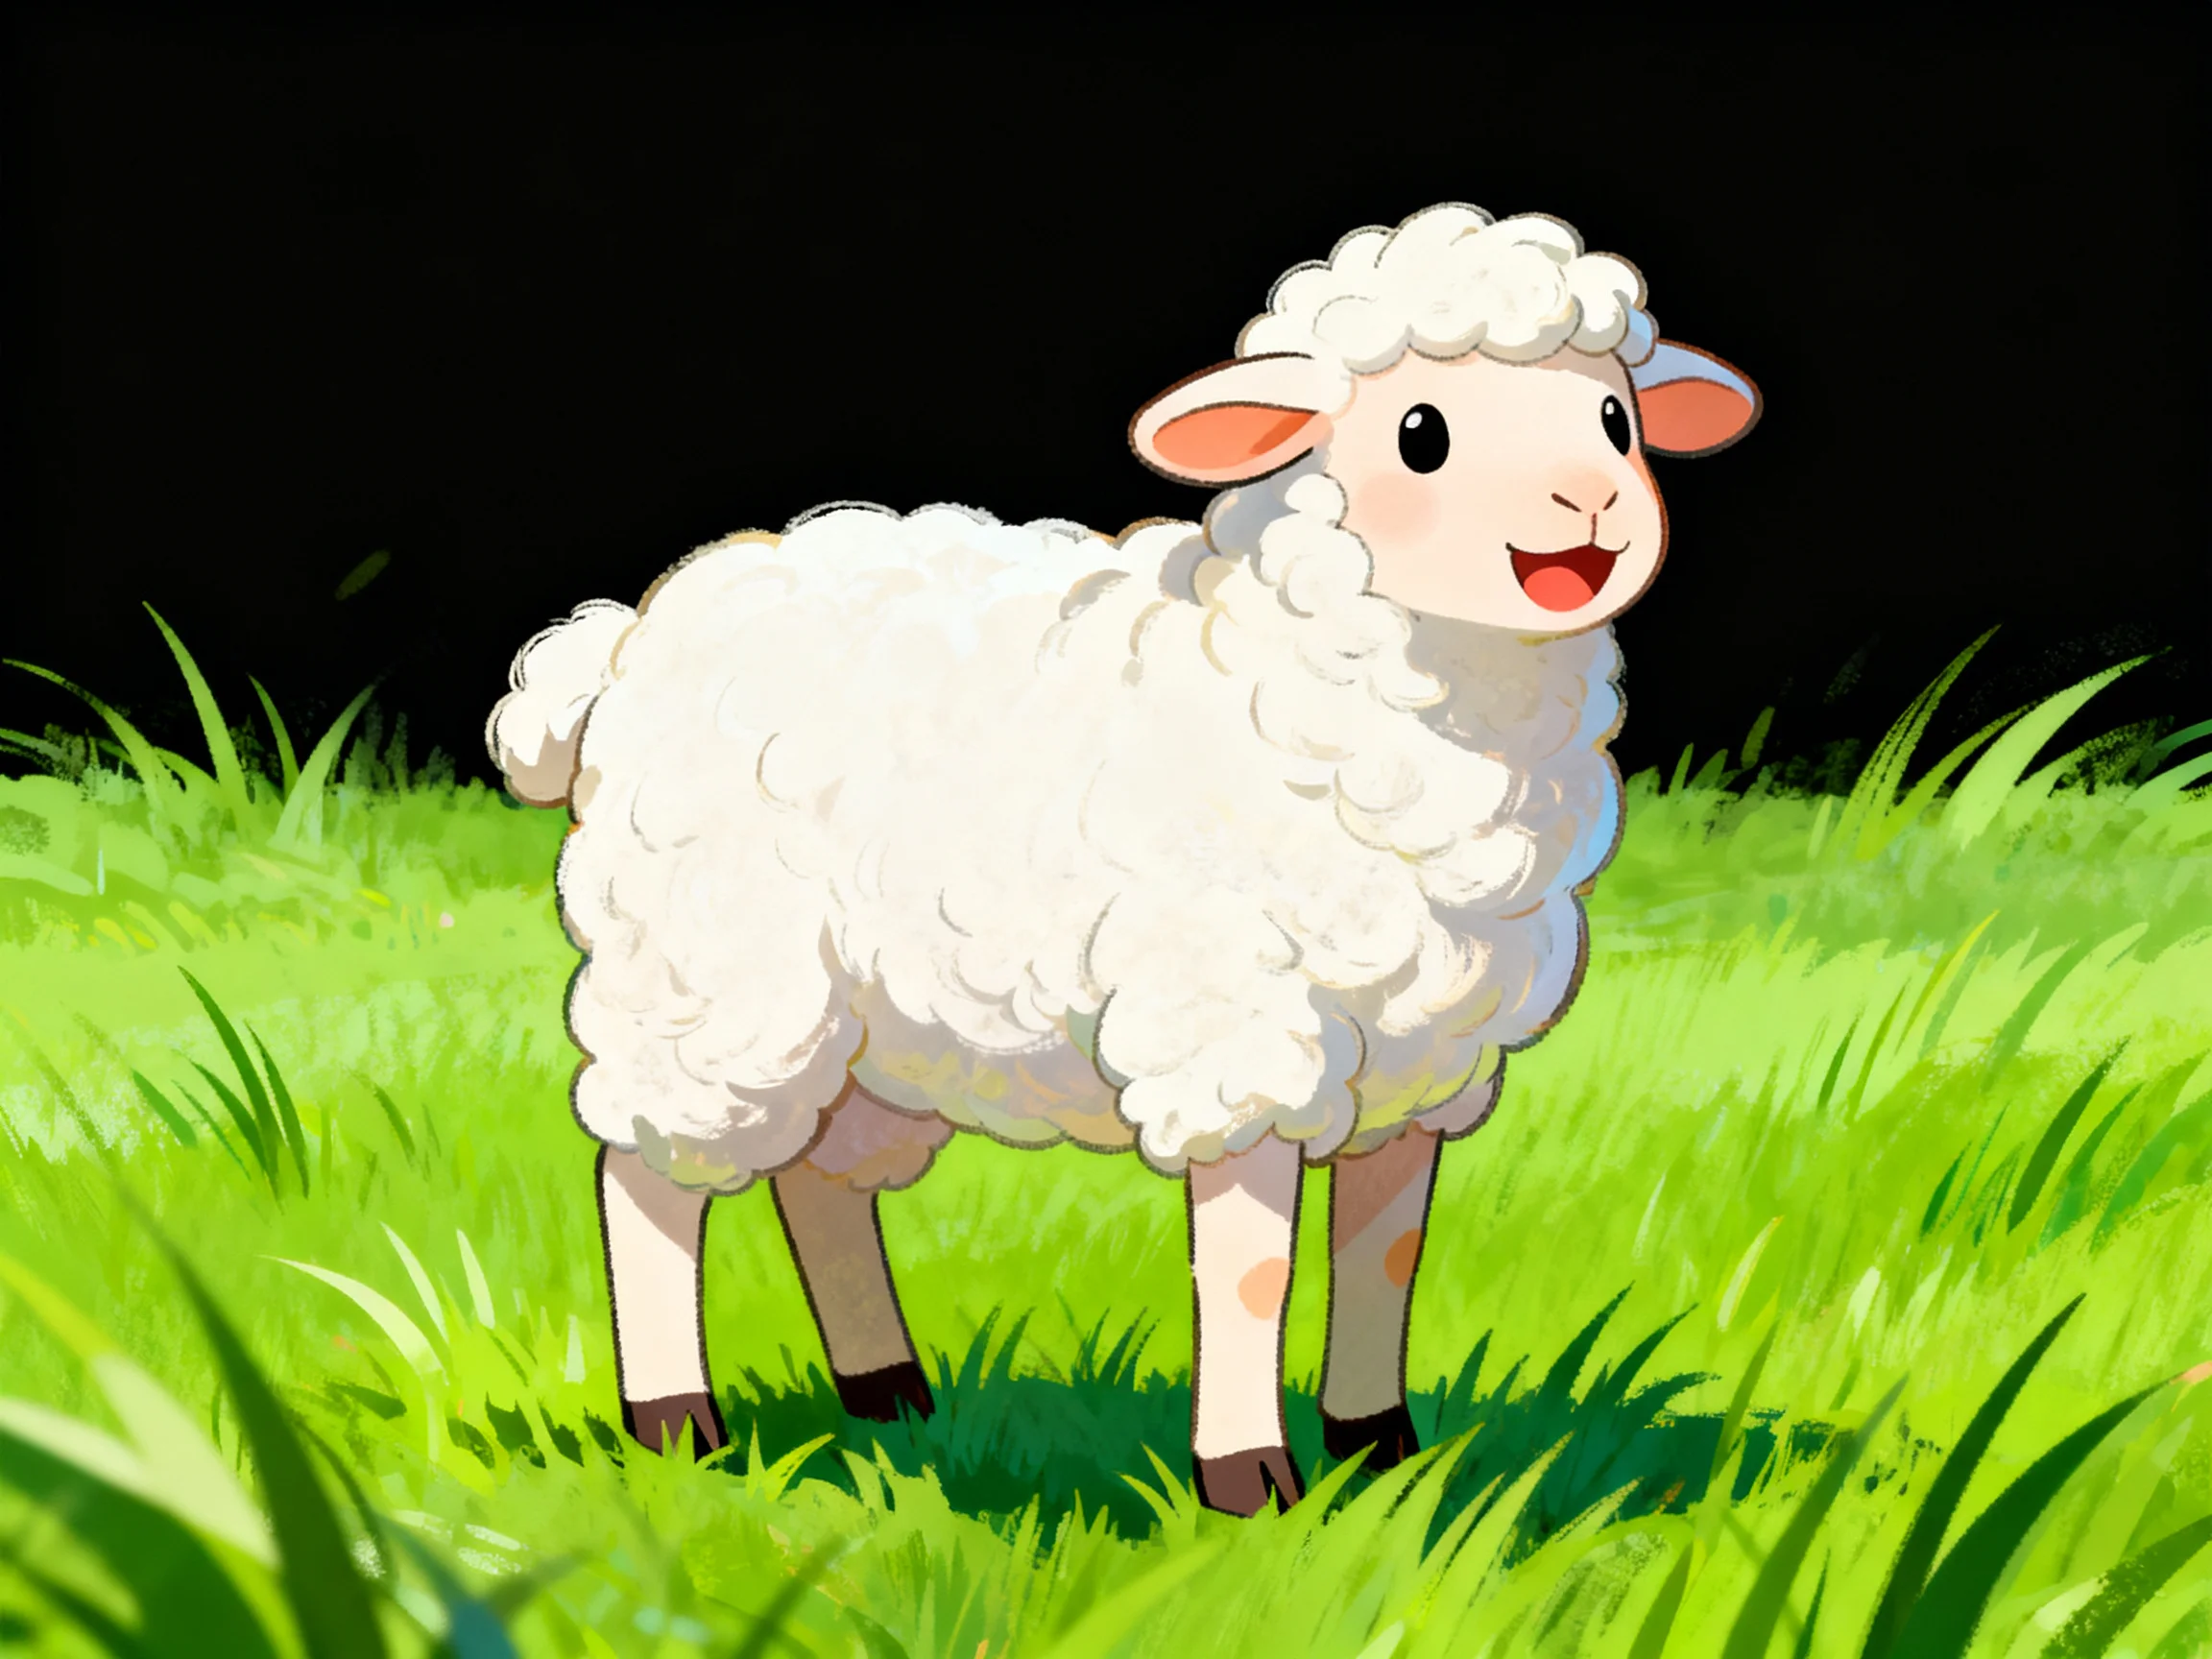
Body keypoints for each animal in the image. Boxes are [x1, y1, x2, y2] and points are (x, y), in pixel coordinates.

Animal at [488, 202, 1759, 1516]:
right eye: (1422, 434)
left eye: (1615, 418)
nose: (1595, 506)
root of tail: (621, 637)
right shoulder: (1234, 1026)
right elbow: (1251, 1269)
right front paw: (1251, 1485)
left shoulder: (1423, 1061)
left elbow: (1386, 1255)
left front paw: (1383, 1455)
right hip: (707, 966)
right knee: (646, 1175)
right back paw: (675, 1424)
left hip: (866, 1023)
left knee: (820, 1180)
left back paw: (888, 1394)